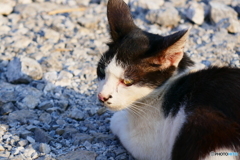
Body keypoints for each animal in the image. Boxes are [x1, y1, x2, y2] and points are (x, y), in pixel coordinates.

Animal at [96, 0, 240, 159]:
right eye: (101, 71)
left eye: (128, 82)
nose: (102, 96)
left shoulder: (149, 144)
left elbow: (118, 122)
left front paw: (119, 117)